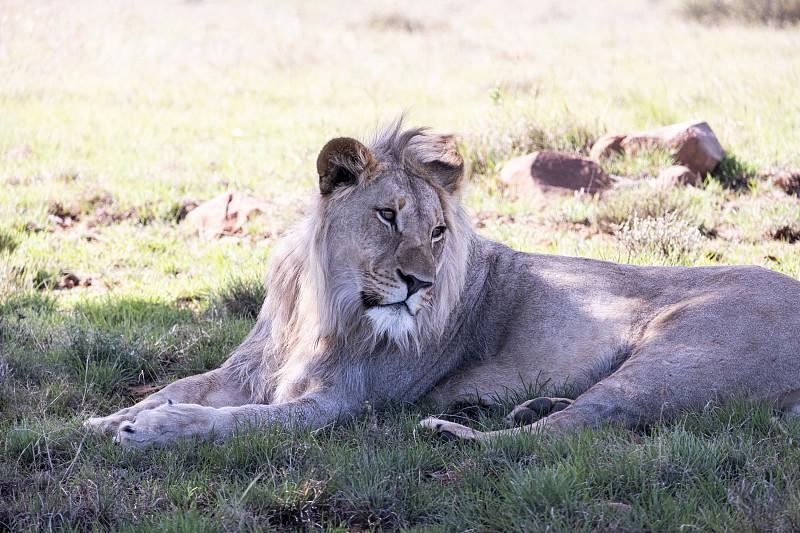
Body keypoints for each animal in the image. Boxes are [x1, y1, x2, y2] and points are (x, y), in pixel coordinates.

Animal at [86, 120, 800, 444]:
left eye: (436, 231)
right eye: (387, 215)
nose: (418, 285)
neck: (321, 307)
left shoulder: (340, 404)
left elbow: (236, 422)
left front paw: (154, 431)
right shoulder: (247, 370)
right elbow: (175, 387)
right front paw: (103, 420)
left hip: (679, 357)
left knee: (563, 435)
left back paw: (453, 429)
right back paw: (530, 405)